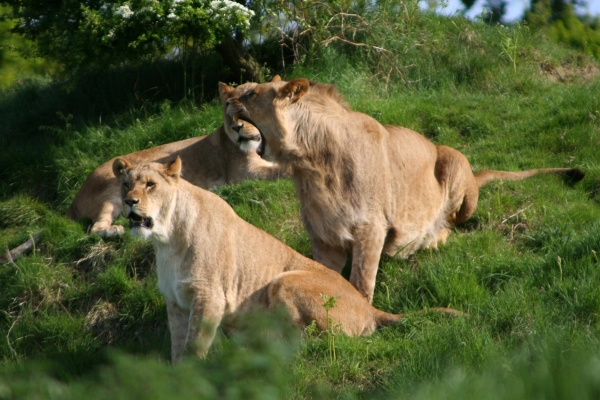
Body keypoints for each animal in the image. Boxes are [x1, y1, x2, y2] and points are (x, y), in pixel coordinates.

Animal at [67, 80, 288, 238]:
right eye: (228, 110)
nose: (237, 128)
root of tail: (75, 198)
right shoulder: (243, 174)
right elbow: (282, 169)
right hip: (113, 192)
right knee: (94, 229)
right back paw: (114, 231)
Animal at [111, 158, 460, 364]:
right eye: (125, 184)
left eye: (151, 185)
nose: (128, 202)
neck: (166, 239)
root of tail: (369, 307)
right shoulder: (176, 303)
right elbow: (177, 346)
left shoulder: (210, 297)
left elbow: (194, 346)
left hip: (285, 281)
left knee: (316, 341)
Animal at [223, 78, 584, 302]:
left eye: (251, 94)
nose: (226, 100)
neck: (310, 163)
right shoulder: (324, 236)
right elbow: (325, 277)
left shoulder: (371, 227)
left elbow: (361, 280)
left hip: (453, 163)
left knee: (453, 223)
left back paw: (428, 241)